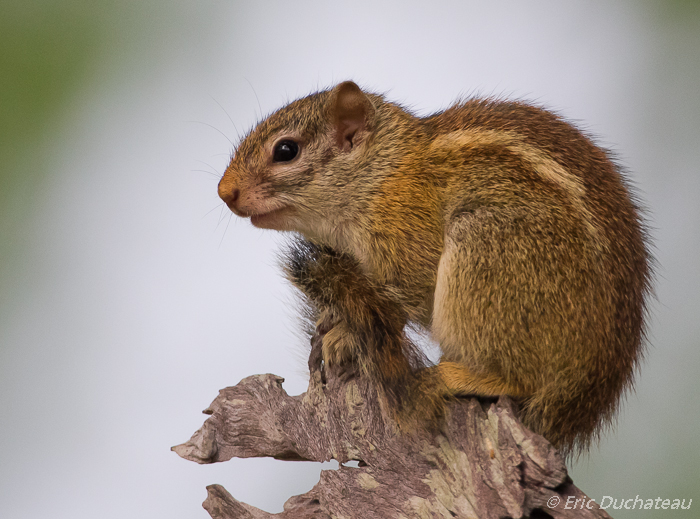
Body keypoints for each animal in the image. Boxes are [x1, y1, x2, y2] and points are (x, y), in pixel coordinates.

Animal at [216, 79, 652, 458]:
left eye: (286, 150)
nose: (224, 193)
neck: (382, 175)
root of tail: (576, 404)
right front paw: (332, 326)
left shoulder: (408, 249)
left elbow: (401, 304)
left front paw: (342, 335)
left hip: (488, 249)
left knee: (520, 381)